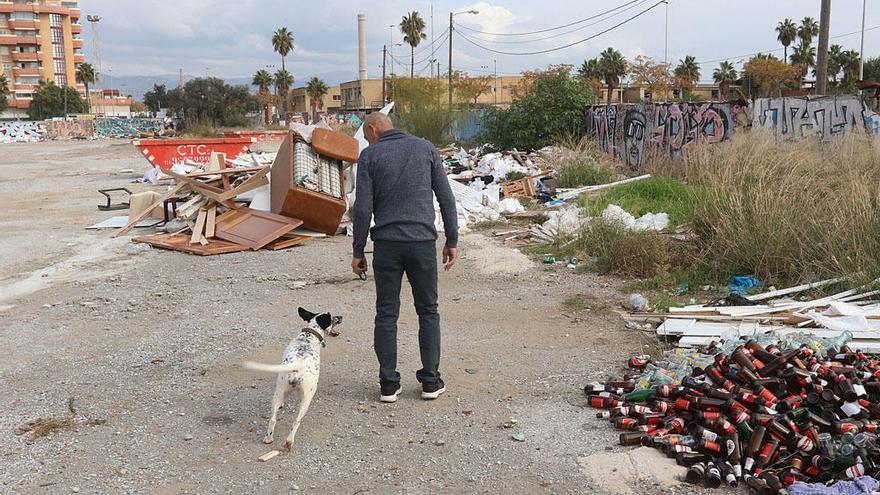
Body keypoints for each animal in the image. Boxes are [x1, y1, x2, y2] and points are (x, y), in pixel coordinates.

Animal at [242, 308, 342, 452]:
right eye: (331, 318)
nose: (341, 316)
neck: (307, 336)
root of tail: (297, 365)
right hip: (306, 400)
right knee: (296, 422)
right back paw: (289, 442)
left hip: (278, 391)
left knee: (273, 419)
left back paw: (268, 438)